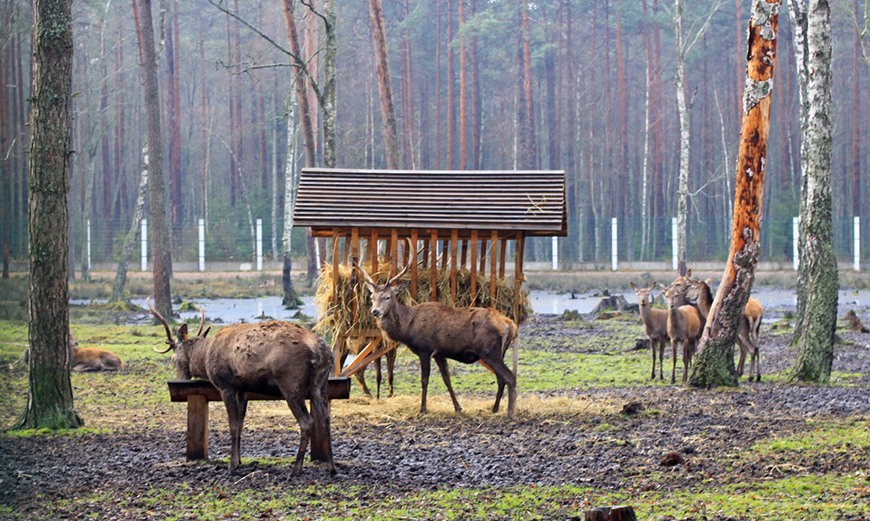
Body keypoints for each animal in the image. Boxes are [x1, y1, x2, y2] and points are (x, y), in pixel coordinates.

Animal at [146, 298, 338, 474]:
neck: (204, 357)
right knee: (326, 419)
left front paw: (231, 465)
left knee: (307, 421)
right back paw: (331, 467)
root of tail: (322, 350)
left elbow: (232, 425)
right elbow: (239, 424)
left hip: (290, 383)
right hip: (320, 385)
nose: (180, 380)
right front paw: (238, 461)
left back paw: (296, 467)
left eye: (173, 358)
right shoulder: (243, 389)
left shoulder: (226, 385)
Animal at [354, 244, 516, 418]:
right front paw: (458, 407)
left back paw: (510, 412)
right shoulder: (440, 353)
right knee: (501, 379)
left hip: (489, 351)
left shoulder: (425, 349)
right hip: (499, 351)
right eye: (372, 297)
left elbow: (424, 380)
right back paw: (494, 409)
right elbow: (447, 379)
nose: (375, 311)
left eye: (388, 297)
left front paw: (423, 409)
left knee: (510, 377)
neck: (407, 328)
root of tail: (510, 325)